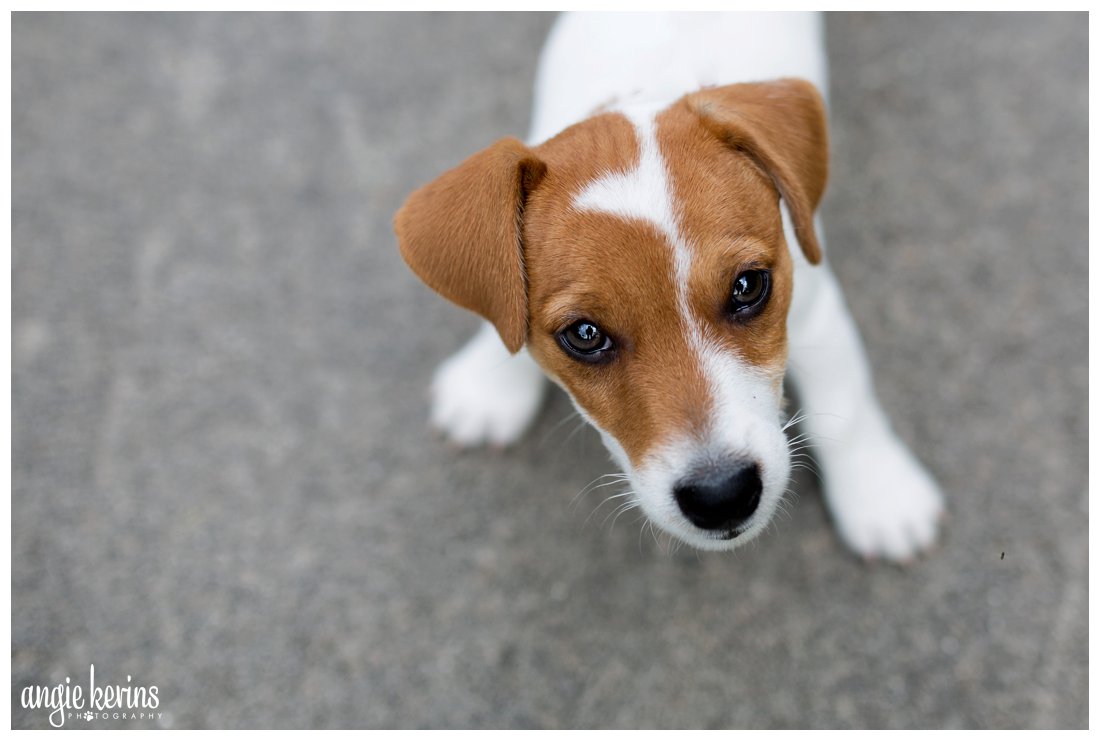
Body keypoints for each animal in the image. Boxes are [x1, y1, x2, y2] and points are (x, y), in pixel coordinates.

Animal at [396, 11, 946, 556]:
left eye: (748, 287)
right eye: (584, 335)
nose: (722, 496)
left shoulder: (815, 306)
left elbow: (847, 402)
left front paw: (880, 493)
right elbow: (501, 313)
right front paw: (490, 384)